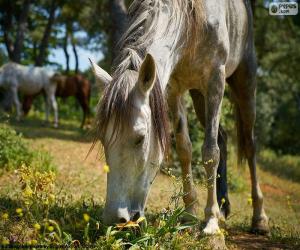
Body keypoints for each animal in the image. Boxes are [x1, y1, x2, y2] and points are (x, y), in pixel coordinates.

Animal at [90, 0, 268, 234]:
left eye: (140, 139)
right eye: (103, 139)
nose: (115, 219)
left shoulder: (215, 81)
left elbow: (210, 152)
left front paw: (210, 222)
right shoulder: (173, 89)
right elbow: (185, 149)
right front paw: (190, 213)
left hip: (245, 82)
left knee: (249, 145)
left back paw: (259, 217)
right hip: (199, 96)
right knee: (222, 137)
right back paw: (223, 208)